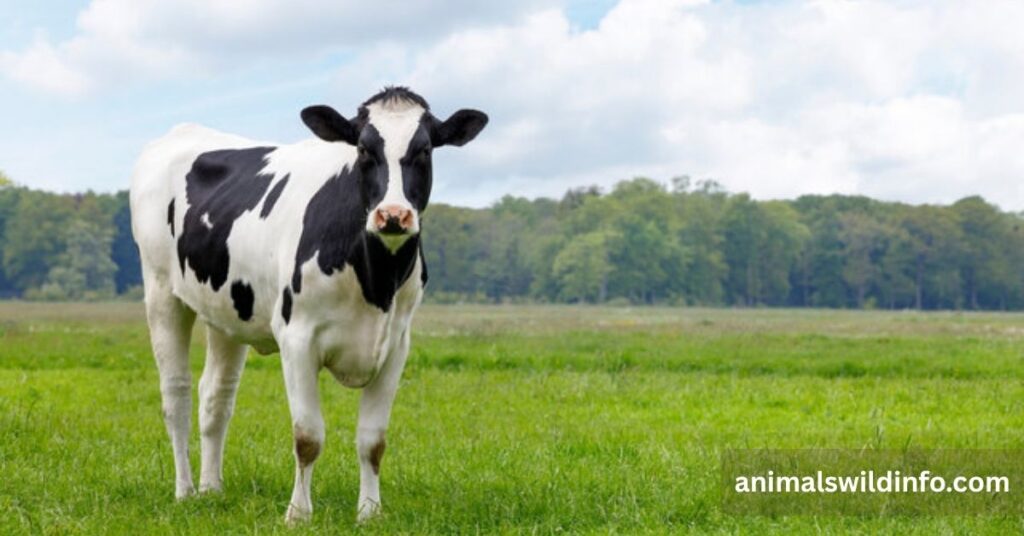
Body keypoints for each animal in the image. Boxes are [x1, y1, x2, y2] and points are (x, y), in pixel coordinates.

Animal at [129, 87, 487, 523]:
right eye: (364, 149)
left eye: (424, 150)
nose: (393, 215)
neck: (375, 280)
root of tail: (183, 131)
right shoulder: (297, 339)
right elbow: (308, 436)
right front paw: (298, 514)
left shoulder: (395, 346)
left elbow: (373, 440)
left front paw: (369, 512)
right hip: (161, 290)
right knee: (176, 394)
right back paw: (184, 491)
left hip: (225, 310)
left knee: (216, 395)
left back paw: (212, 489)